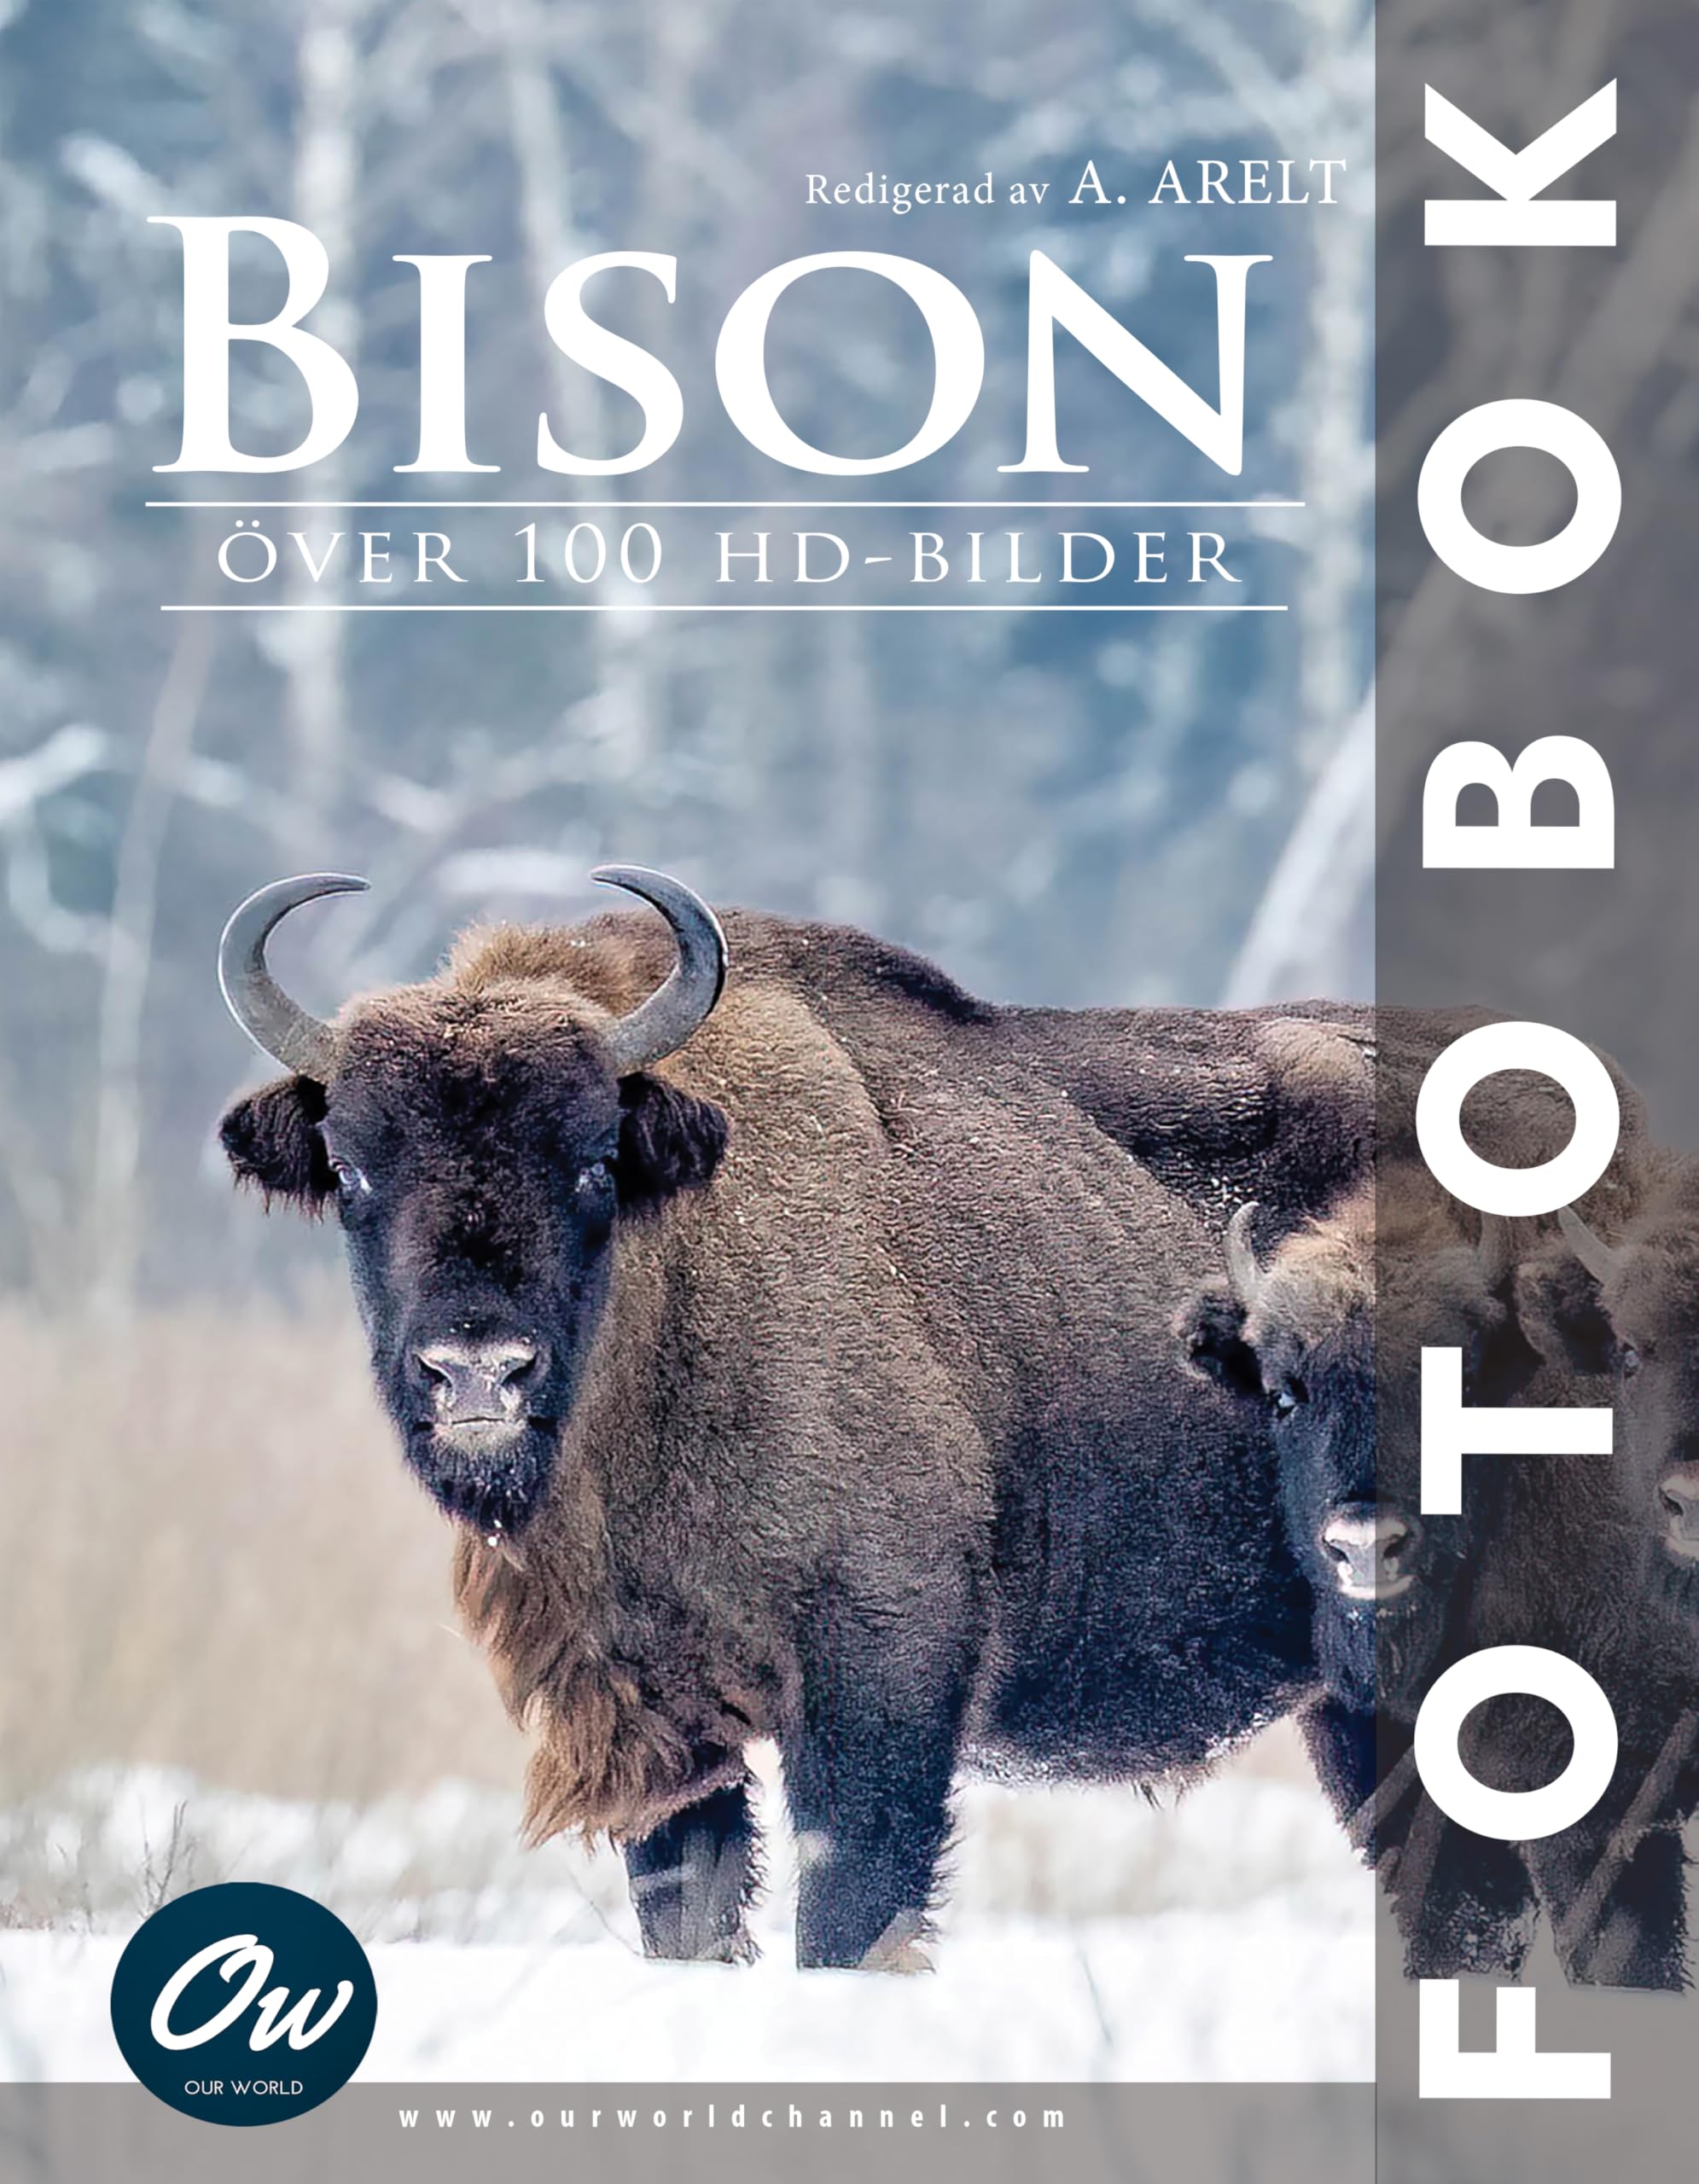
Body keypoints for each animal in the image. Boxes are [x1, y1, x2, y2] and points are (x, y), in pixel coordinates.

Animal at [217, 866, 1372, 1970]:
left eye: (594, 1158)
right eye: (352, 1168)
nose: (475, 1371)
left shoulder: (879, 1670)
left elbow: (844, 1918)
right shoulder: (657, 1716)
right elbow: (690, 1922)